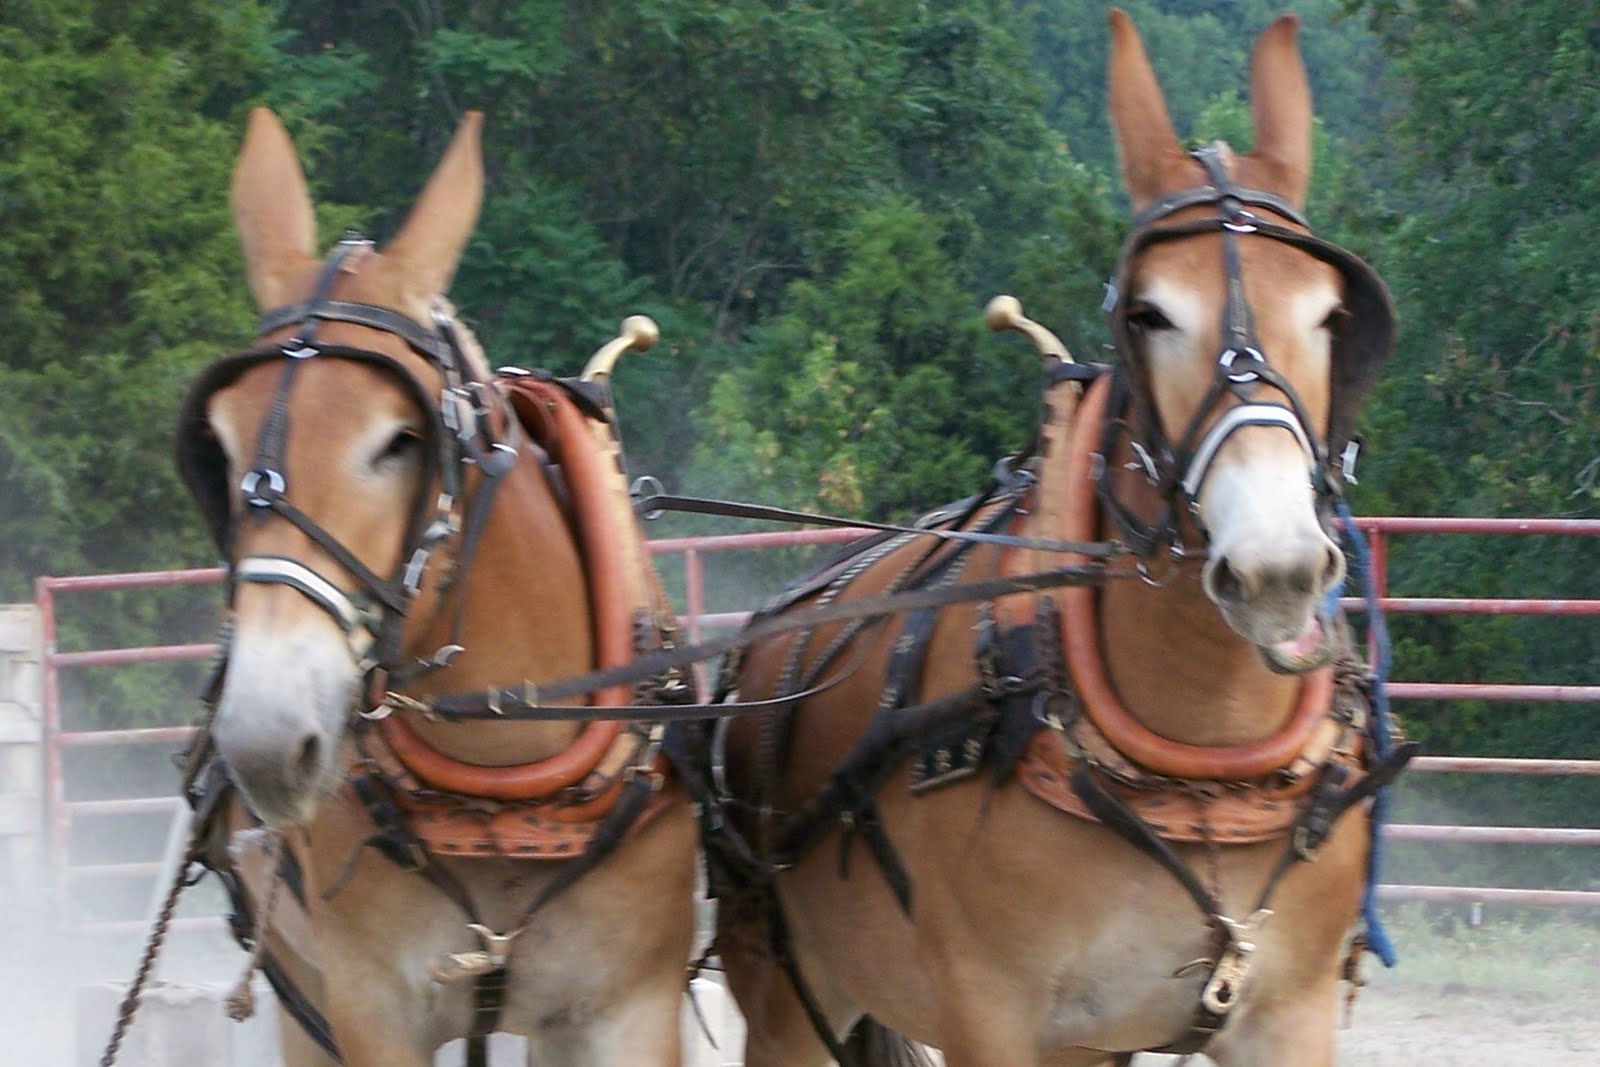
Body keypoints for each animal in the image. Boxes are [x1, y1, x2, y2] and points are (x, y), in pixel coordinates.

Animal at [173, 108, 697, 1066]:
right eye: (218, 443)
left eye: (400, 439)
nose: (267, 737)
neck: (501, 786)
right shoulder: (370, 1009)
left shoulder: (629, 1010)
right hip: (302, 992)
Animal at [698, 11, 1410, 1067]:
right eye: (1149, 313)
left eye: (1330, 315)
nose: (1276, 567)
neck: (1199, 766)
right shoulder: (988, 1015)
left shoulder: (1289, 1012)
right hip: (785, 987)